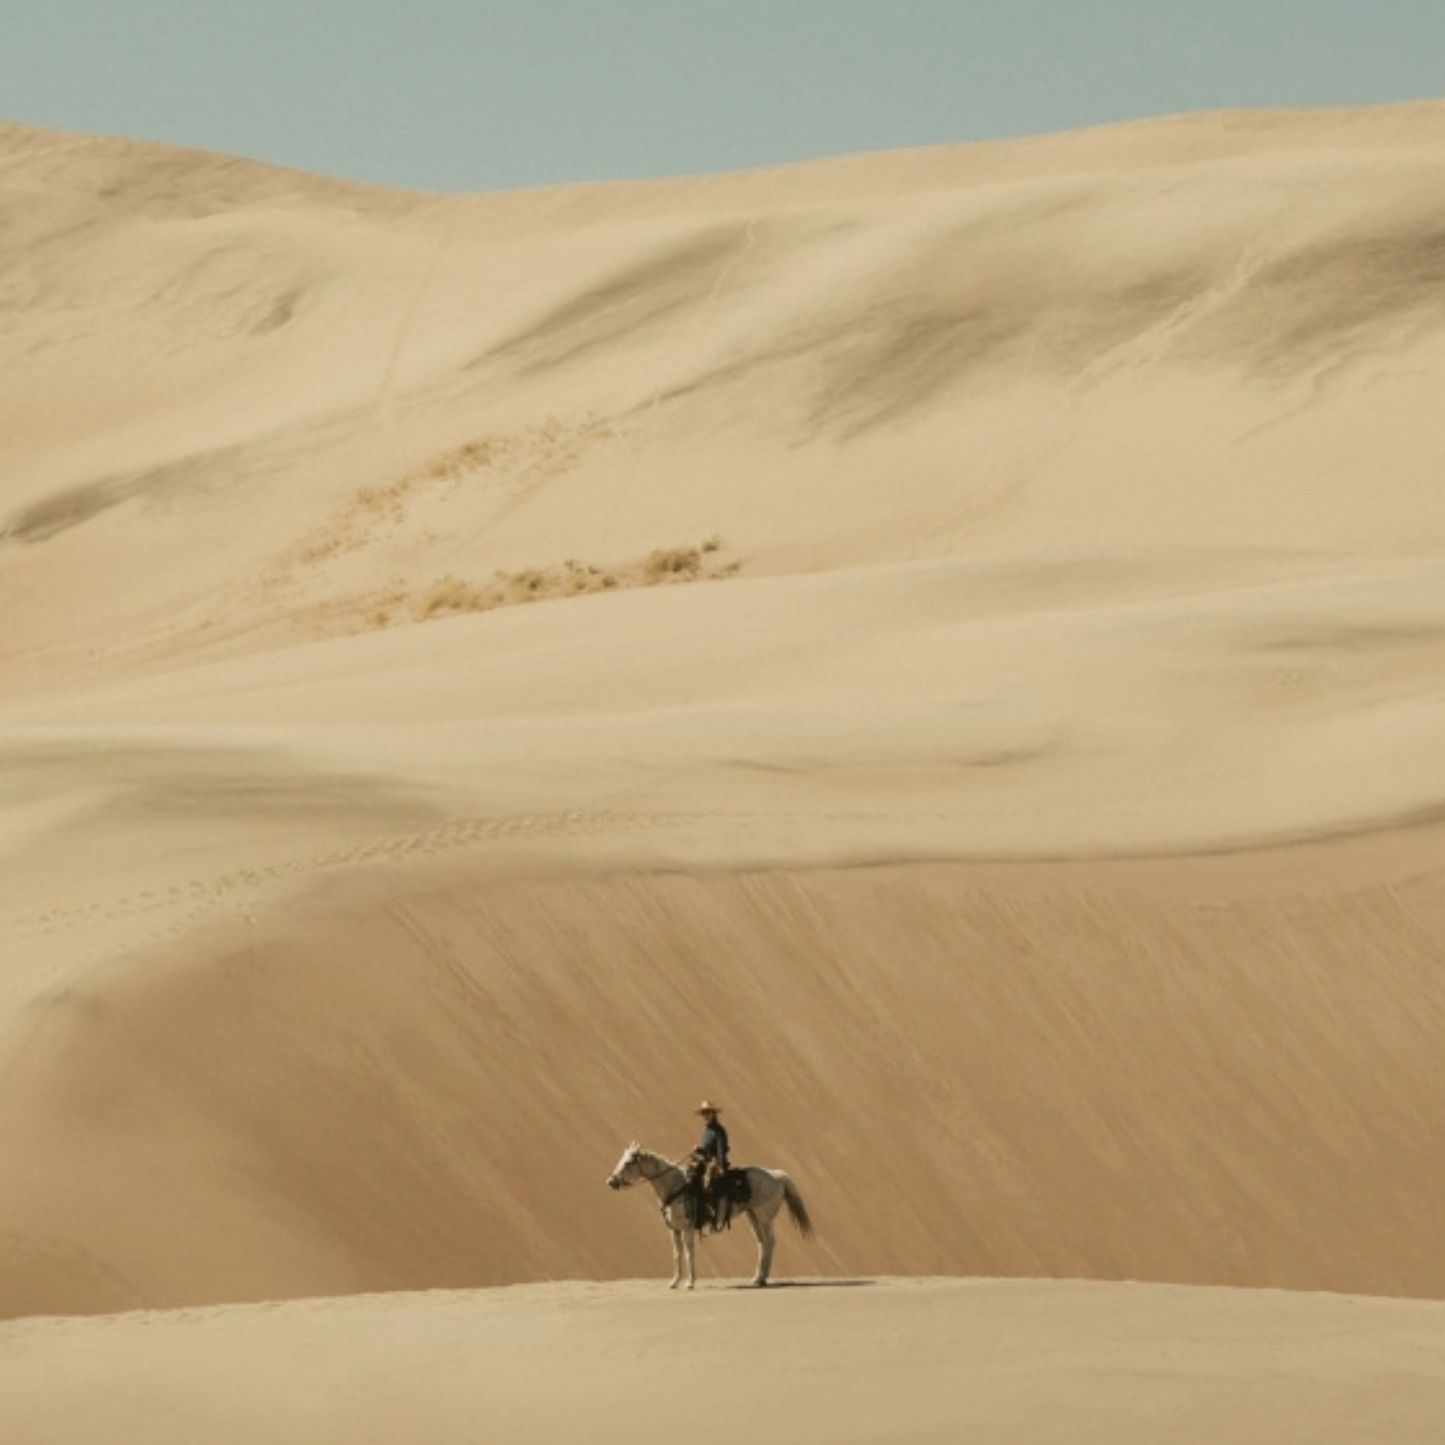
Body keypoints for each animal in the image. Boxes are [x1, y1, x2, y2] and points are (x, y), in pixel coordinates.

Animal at [606, 1144, 814, 1294]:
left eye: (627, 1163)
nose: (611, 1182)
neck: (674, 1186)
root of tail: (776, 1176)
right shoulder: (673, 1229)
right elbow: (677, 1255)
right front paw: (674, 1282)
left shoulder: (687, 1228)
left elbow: (689, 1253)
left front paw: (690, 1283)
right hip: (752, 1215)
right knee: (762, 1243)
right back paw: (758, 1278)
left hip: (764, 1217)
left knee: (770, 1242)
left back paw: (763, 1278)